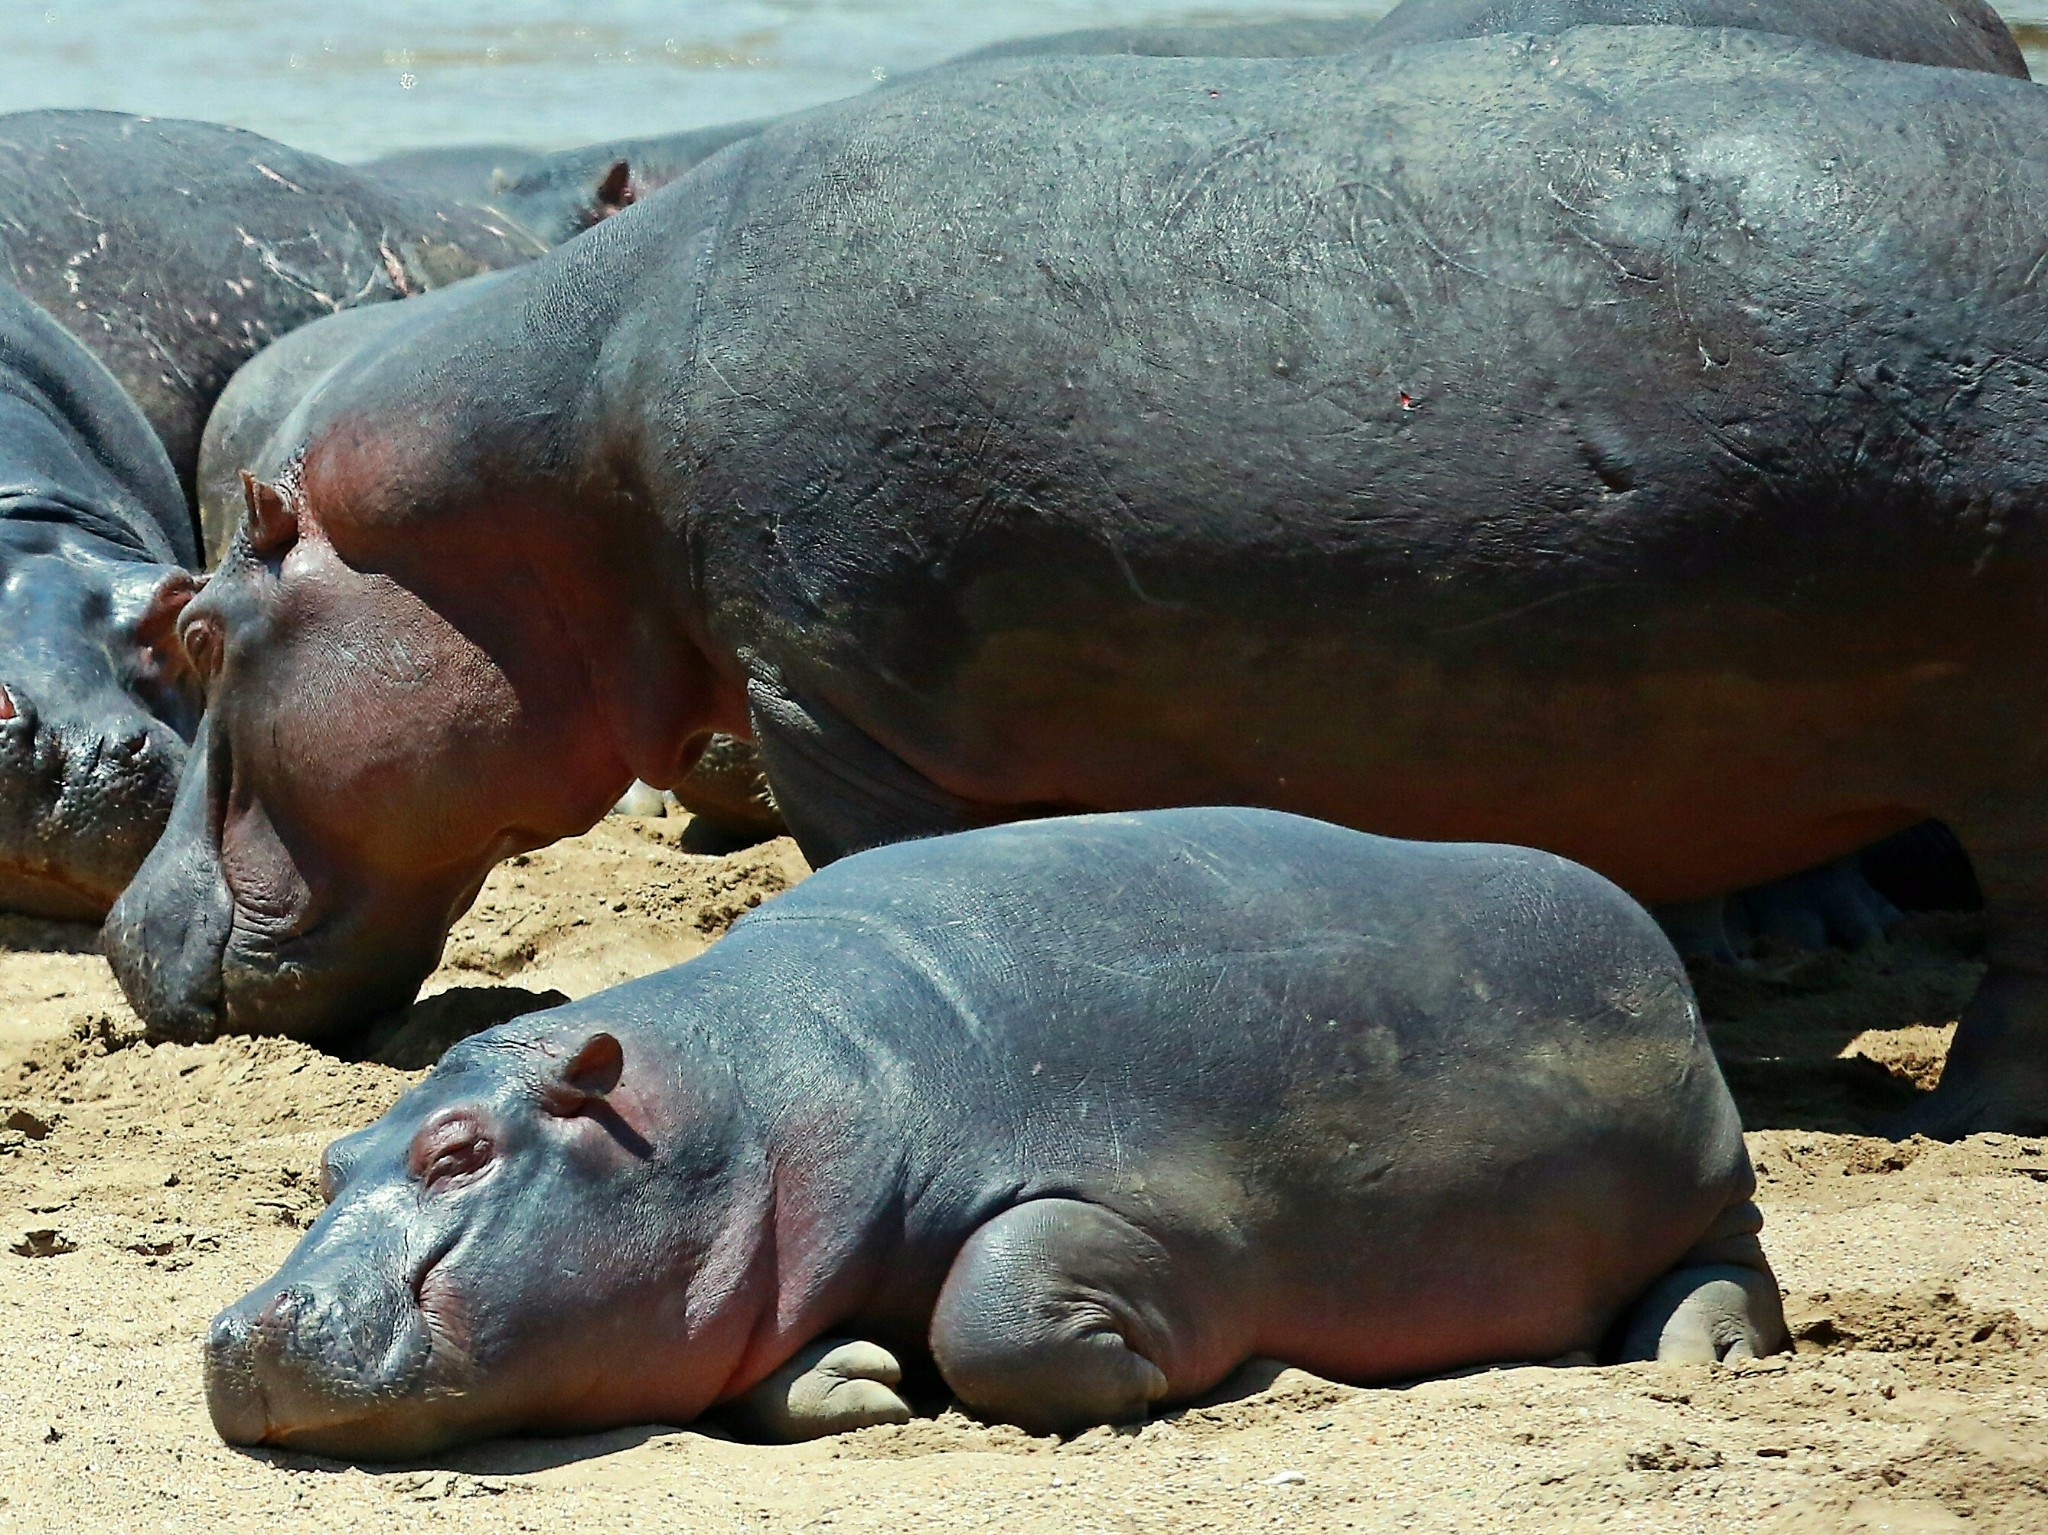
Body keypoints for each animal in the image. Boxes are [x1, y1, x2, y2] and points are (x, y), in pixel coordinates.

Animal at [112, 27, 2048, 1146]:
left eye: (199, 630)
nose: (123, 934)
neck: (563, 443)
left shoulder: (834, 704)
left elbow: (886, 872)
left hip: (2008, 754)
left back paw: (1977, 1116)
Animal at [199, 810, 1785, 1457]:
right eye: (330, 1159)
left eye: (460, 1149)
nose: (239, 1328)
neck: (754, 1094)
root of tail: (1638, 924)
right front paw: (855, 1381)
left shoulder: (1138, 1196)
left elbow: (1001, 1298)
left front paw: (1162, 1372)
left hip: (1707, 1178)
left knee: (1731, 1268)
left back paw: (1697, 1356)